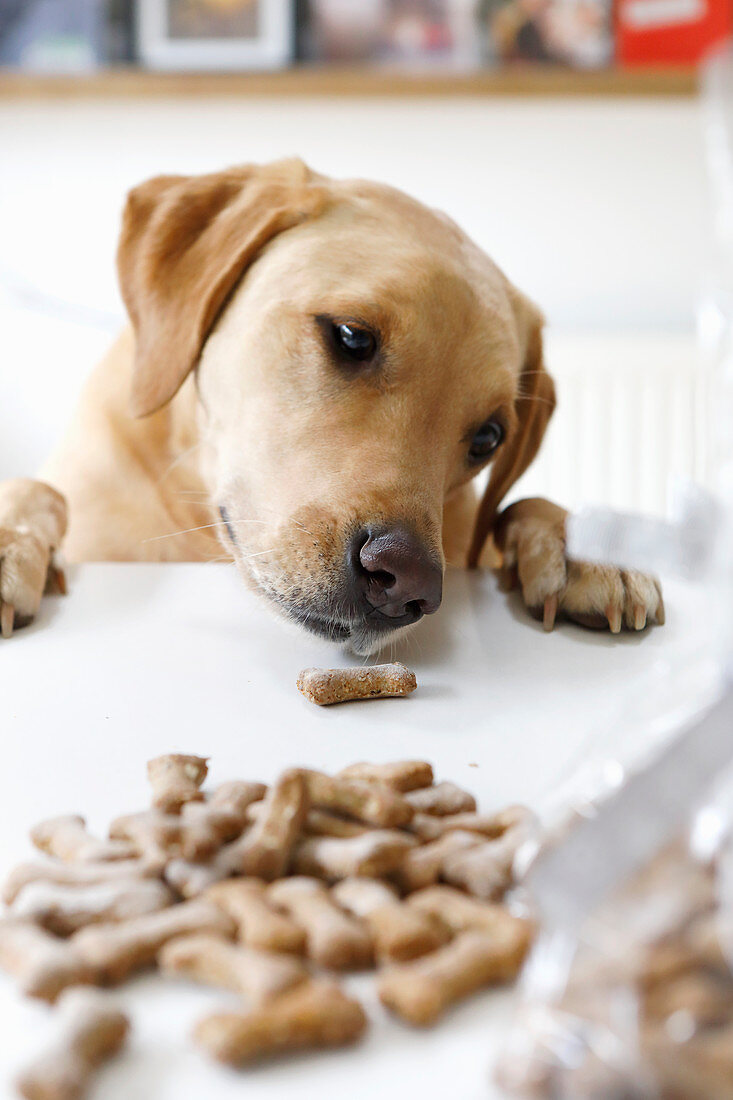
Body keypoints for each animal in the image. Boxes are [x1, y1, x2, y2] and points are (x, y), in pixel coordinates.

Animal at [1, 157, 660, 651]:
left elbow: (523, 504)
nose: (406, 584)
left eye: (488, 438)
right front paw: (11, 541)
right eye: (351, 337)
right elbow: (36, 490)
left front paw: (588, 549)